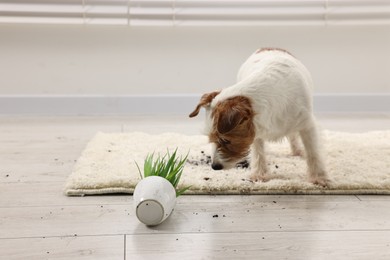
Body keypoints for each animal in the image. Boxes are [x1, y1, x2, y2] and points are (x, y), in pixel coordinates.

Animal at [189, 48, 330, 187]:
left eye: (225, 140)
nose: (214, 167)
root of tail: (267, 47)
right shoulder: (254, 131)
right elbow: (258, 153)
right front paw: (259, 175)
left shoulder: (308, 125)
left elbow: (313, 152)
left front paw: (319, 178)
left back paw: (297, 150)